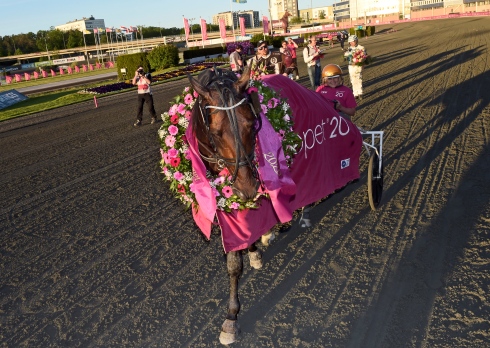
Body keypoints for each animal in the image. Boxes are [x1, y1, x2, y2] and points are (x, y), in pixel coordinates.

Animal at [186, 66, 362, 344]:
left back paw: (303, 213)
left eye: (252, 124)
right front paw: (254, 250)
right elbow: (238, 246)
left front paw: (231, 316)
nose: (247, 187)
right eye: (215, 133)